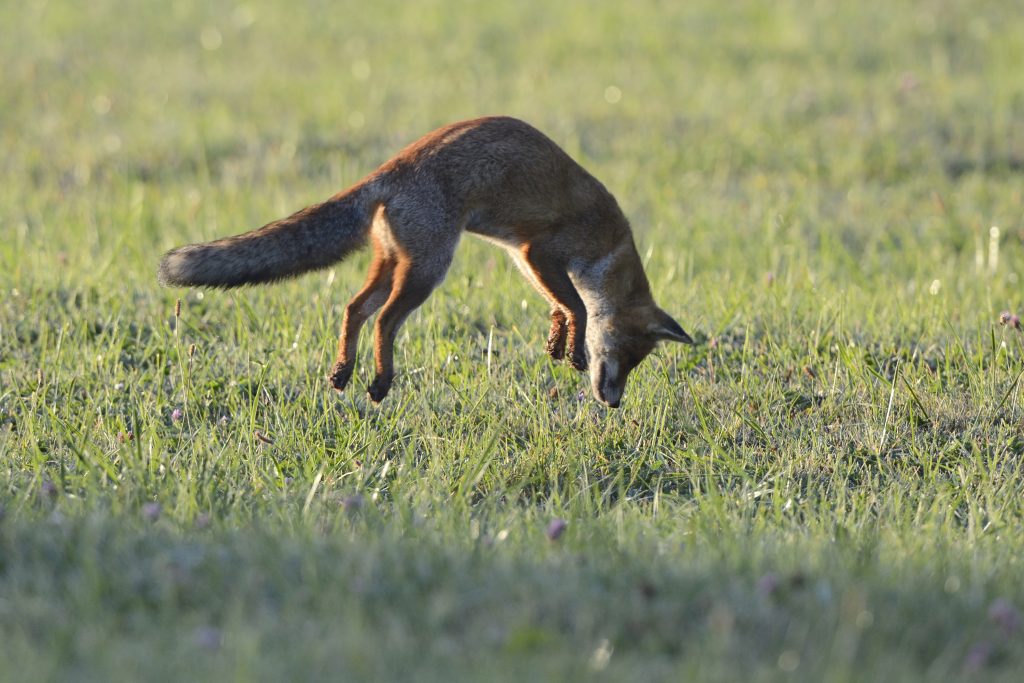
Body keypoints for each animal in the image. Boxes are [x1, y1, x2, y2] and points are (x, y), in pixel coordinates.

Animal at [159, 116, 693, 407]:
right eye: (624, 357)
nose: (613, 403)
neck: (611, 244)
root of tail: (389, 169)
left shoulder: (524, 257)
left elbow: (561, 307)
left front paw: (557, 343)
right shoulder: (540, 250)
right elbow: (580, 306)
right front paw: (575, 349)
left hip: (394, 263)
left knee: (354, 309)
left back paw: (343, 372)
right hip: (428, 269)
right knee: (384, 321)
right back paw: (379, 382)